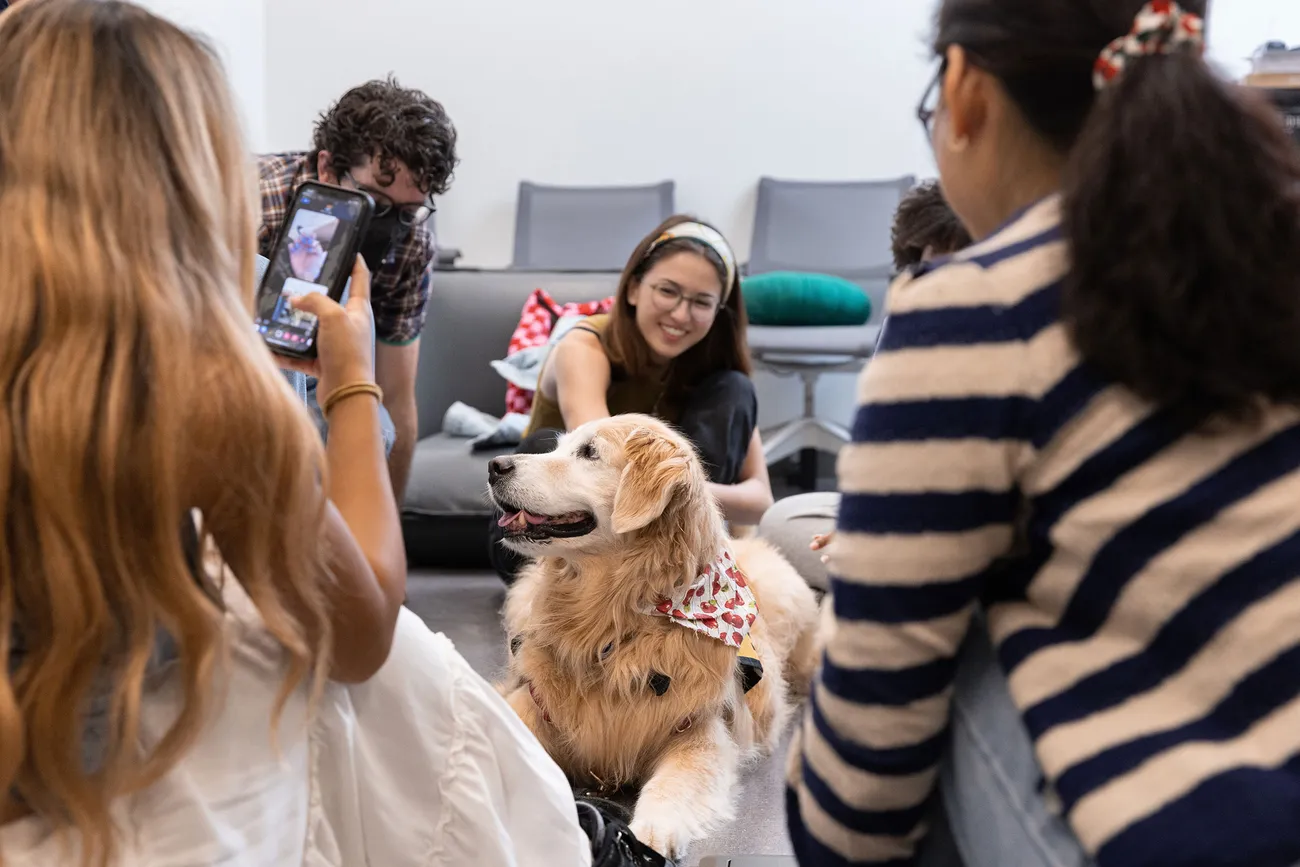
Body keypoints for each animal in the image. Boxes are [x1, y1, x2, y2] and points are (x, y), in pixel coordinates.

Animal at [483, 415, 816, 863]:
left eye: (588, 452)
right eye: (558, 446)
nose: (495, 465)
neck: (611, 624)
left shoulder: (699, 731)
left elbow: (671, 784)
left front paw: (648, 834)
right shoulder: (532, 704)